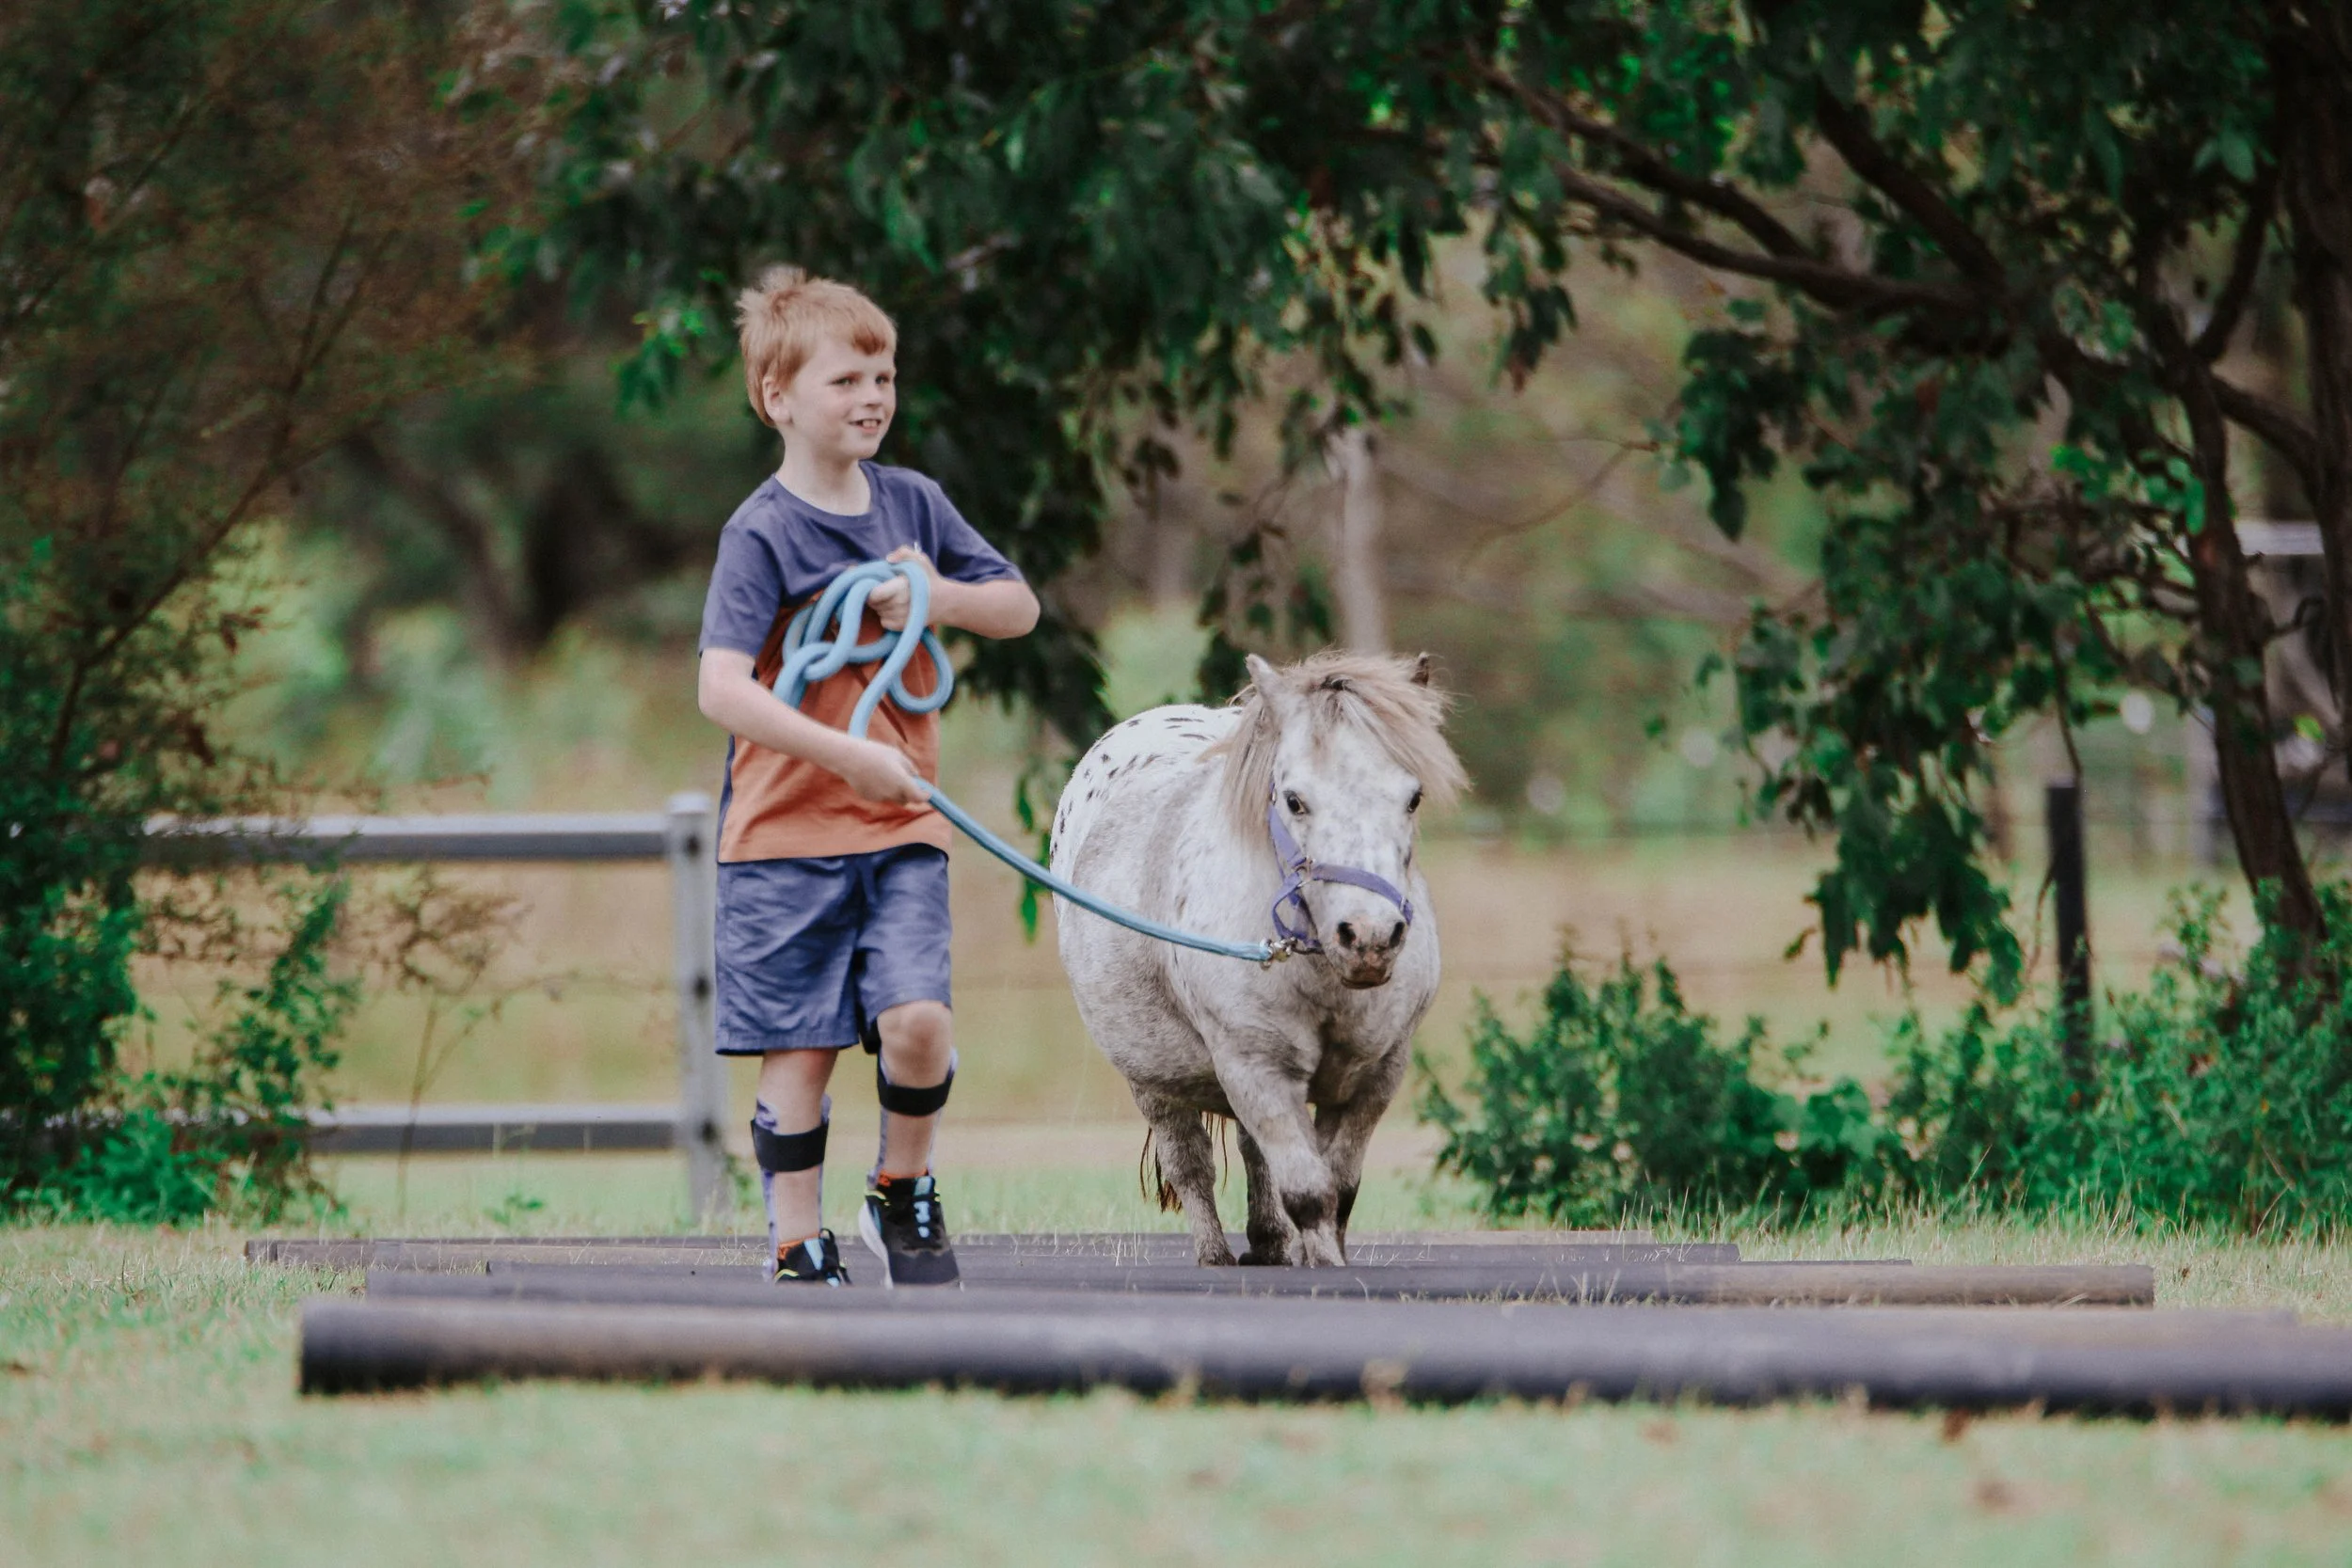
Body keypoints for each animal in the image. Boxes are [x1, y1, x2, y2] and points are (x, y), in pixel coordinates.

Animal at [1049, 650, 1467, 1266]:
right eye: (1294, 799)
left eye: (1412, 797)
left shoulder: (1375, 1076)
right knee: (1190, 1164)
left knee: (1253, 1155)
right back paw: (1216, 1255)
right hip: (1151, 1079)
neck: (1318, 969)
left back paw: (1269, 1244)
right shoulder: (1256, 1070)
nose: (1369, 936)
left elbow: (1339, 1190)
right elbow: (1310, 1193)